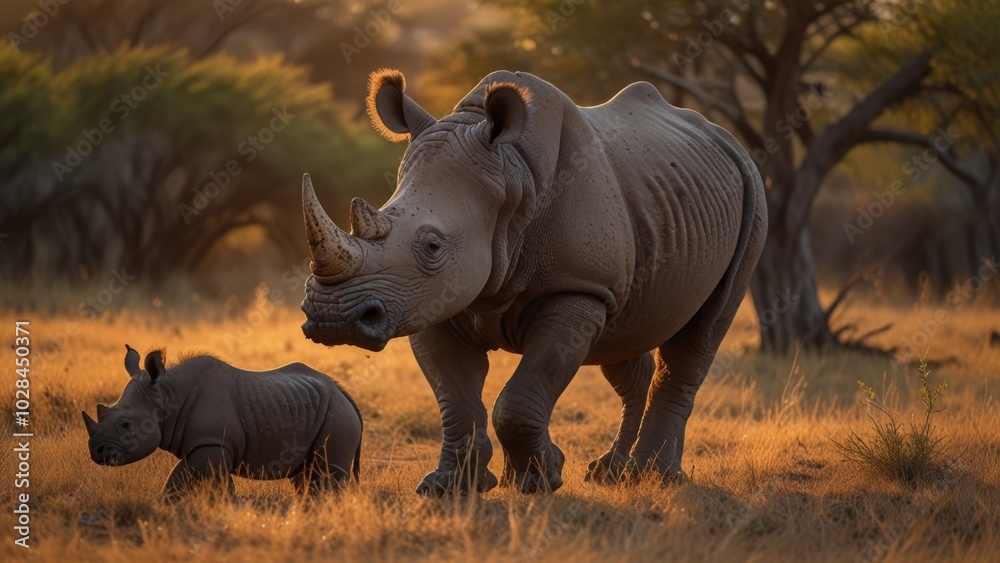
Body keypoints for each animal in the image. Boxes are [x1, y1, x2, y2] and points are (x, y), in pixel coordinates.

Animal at [82, 345, 363, 498]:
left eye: (125, 425)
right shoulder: (215, 447)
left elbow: (178, 477)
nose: (97, 452)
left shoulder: (212, 442)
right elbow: (220, 484)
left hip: (338, 416)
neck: (166, 396)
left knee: (326, 473)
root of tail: (345, 394)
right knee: (306, 475)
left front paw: (163, 504)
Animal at [300, 69, 766, 495]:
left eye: (432, 245)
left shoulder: (576, 287)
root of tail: (724, 139)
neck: (511, 179)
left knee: (701, 334)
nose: (331, 318)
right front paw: (450, 486)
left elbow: (519, 399)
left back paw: (652, 477)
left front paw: (539, 480)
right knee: (626, 339)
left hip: (753, 193)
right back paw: (610, 473)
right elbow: (455, 399)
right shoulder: (431, 300)